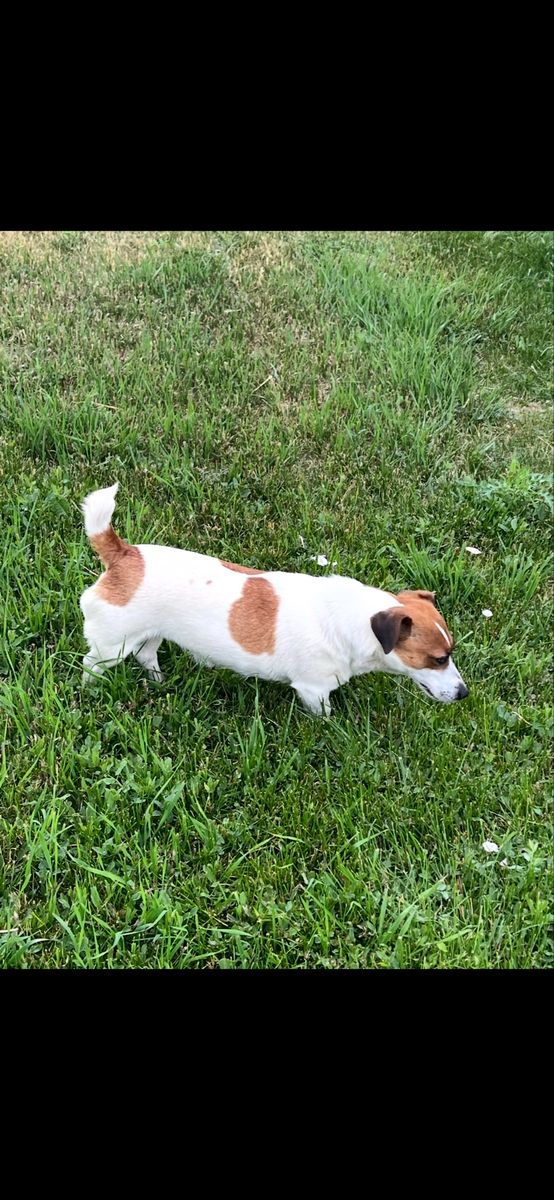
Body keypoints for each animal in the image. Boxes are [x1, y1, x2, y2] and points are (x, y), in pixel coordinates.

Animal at [80, 483, 469, 715]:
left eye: (450, 654)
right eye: (437, 659)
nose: (464, 693)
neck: (354, 620)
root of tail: (123, 553)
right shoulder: (313, 689)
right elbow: (324, 715)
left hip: (151, 632)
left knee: (147, 654)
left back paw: (159, 682)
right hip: (112, 644)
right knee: (92, 664)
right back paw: (91, 690)